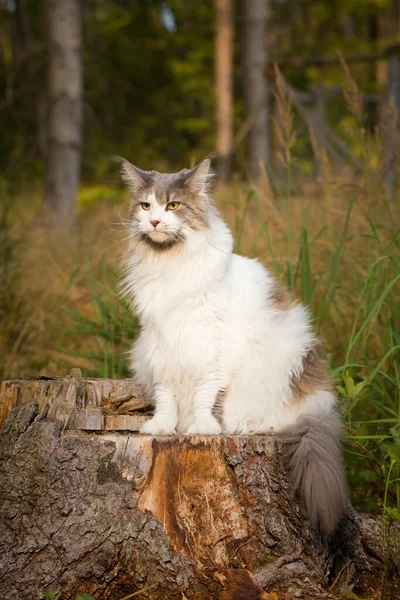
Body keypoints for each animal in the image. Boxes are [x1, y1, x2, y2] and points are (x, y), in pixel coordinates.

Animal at [117, 156, 348, 536]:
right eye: (146, 205)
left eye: (173, 206)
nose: (154, 221)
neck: (170, 265)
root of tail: (319, 408)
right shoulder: (162, 348)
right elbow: (166, 397)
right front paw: (163, 427)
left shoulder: (212, 349)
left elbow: (204, 396)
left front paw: (202, 427)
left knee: (276, 417)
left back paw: (243, 426)